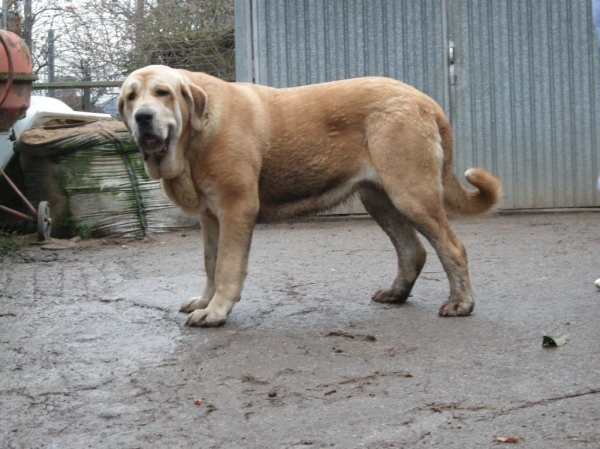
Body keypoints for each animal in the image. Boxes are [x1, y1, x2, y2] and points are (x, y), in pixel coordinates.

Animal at [117, 65, 502, 328]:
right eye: (130, 98)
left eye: (163, 93)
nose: (143, 117)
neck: (194, 138)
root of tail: (427, 102)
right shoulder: (210, 217)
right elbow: (211, 264)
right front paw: (205, 301)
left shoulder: (235, 208)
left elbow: (227, 266)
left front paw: (216, 312)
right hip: (379, 199)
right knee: (413, 250)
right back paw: (396, 294)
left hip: (411, 193)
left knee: (451, 247)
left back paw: (461, 304)